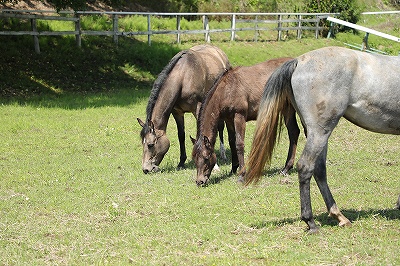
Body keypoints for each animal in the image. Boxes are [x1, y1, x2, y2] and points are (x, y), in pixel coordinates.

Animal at [138, 44, 231, 174]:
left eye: (150, 144)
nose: (146, 169)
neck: (183, 77)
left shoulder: (198, 109)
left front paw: (215, 165)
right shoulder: (177, 112)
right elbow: (181, 135)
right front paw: (181, 162)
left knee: (221, 127)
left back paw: (223, 154)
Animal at [191, 57, 300, 186]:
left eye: (206, 157)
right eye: (194, 158)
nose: (200, 181)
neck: (227, 89)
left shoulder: (239, 116)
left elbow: (239, 144)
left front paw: (242, 175)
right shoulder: (229, 120)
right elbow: (232, 142)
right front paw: (233, 169)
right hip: (287, 108)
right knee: (294, 132)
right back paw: (286, 168)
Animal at [244, 46, 400, 234]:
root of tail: (299, 61)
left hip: (316, 133)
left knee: (319, 169)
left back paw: (338, 216)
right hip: (320, 132)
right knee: (306, 167)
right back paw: (310, 222)